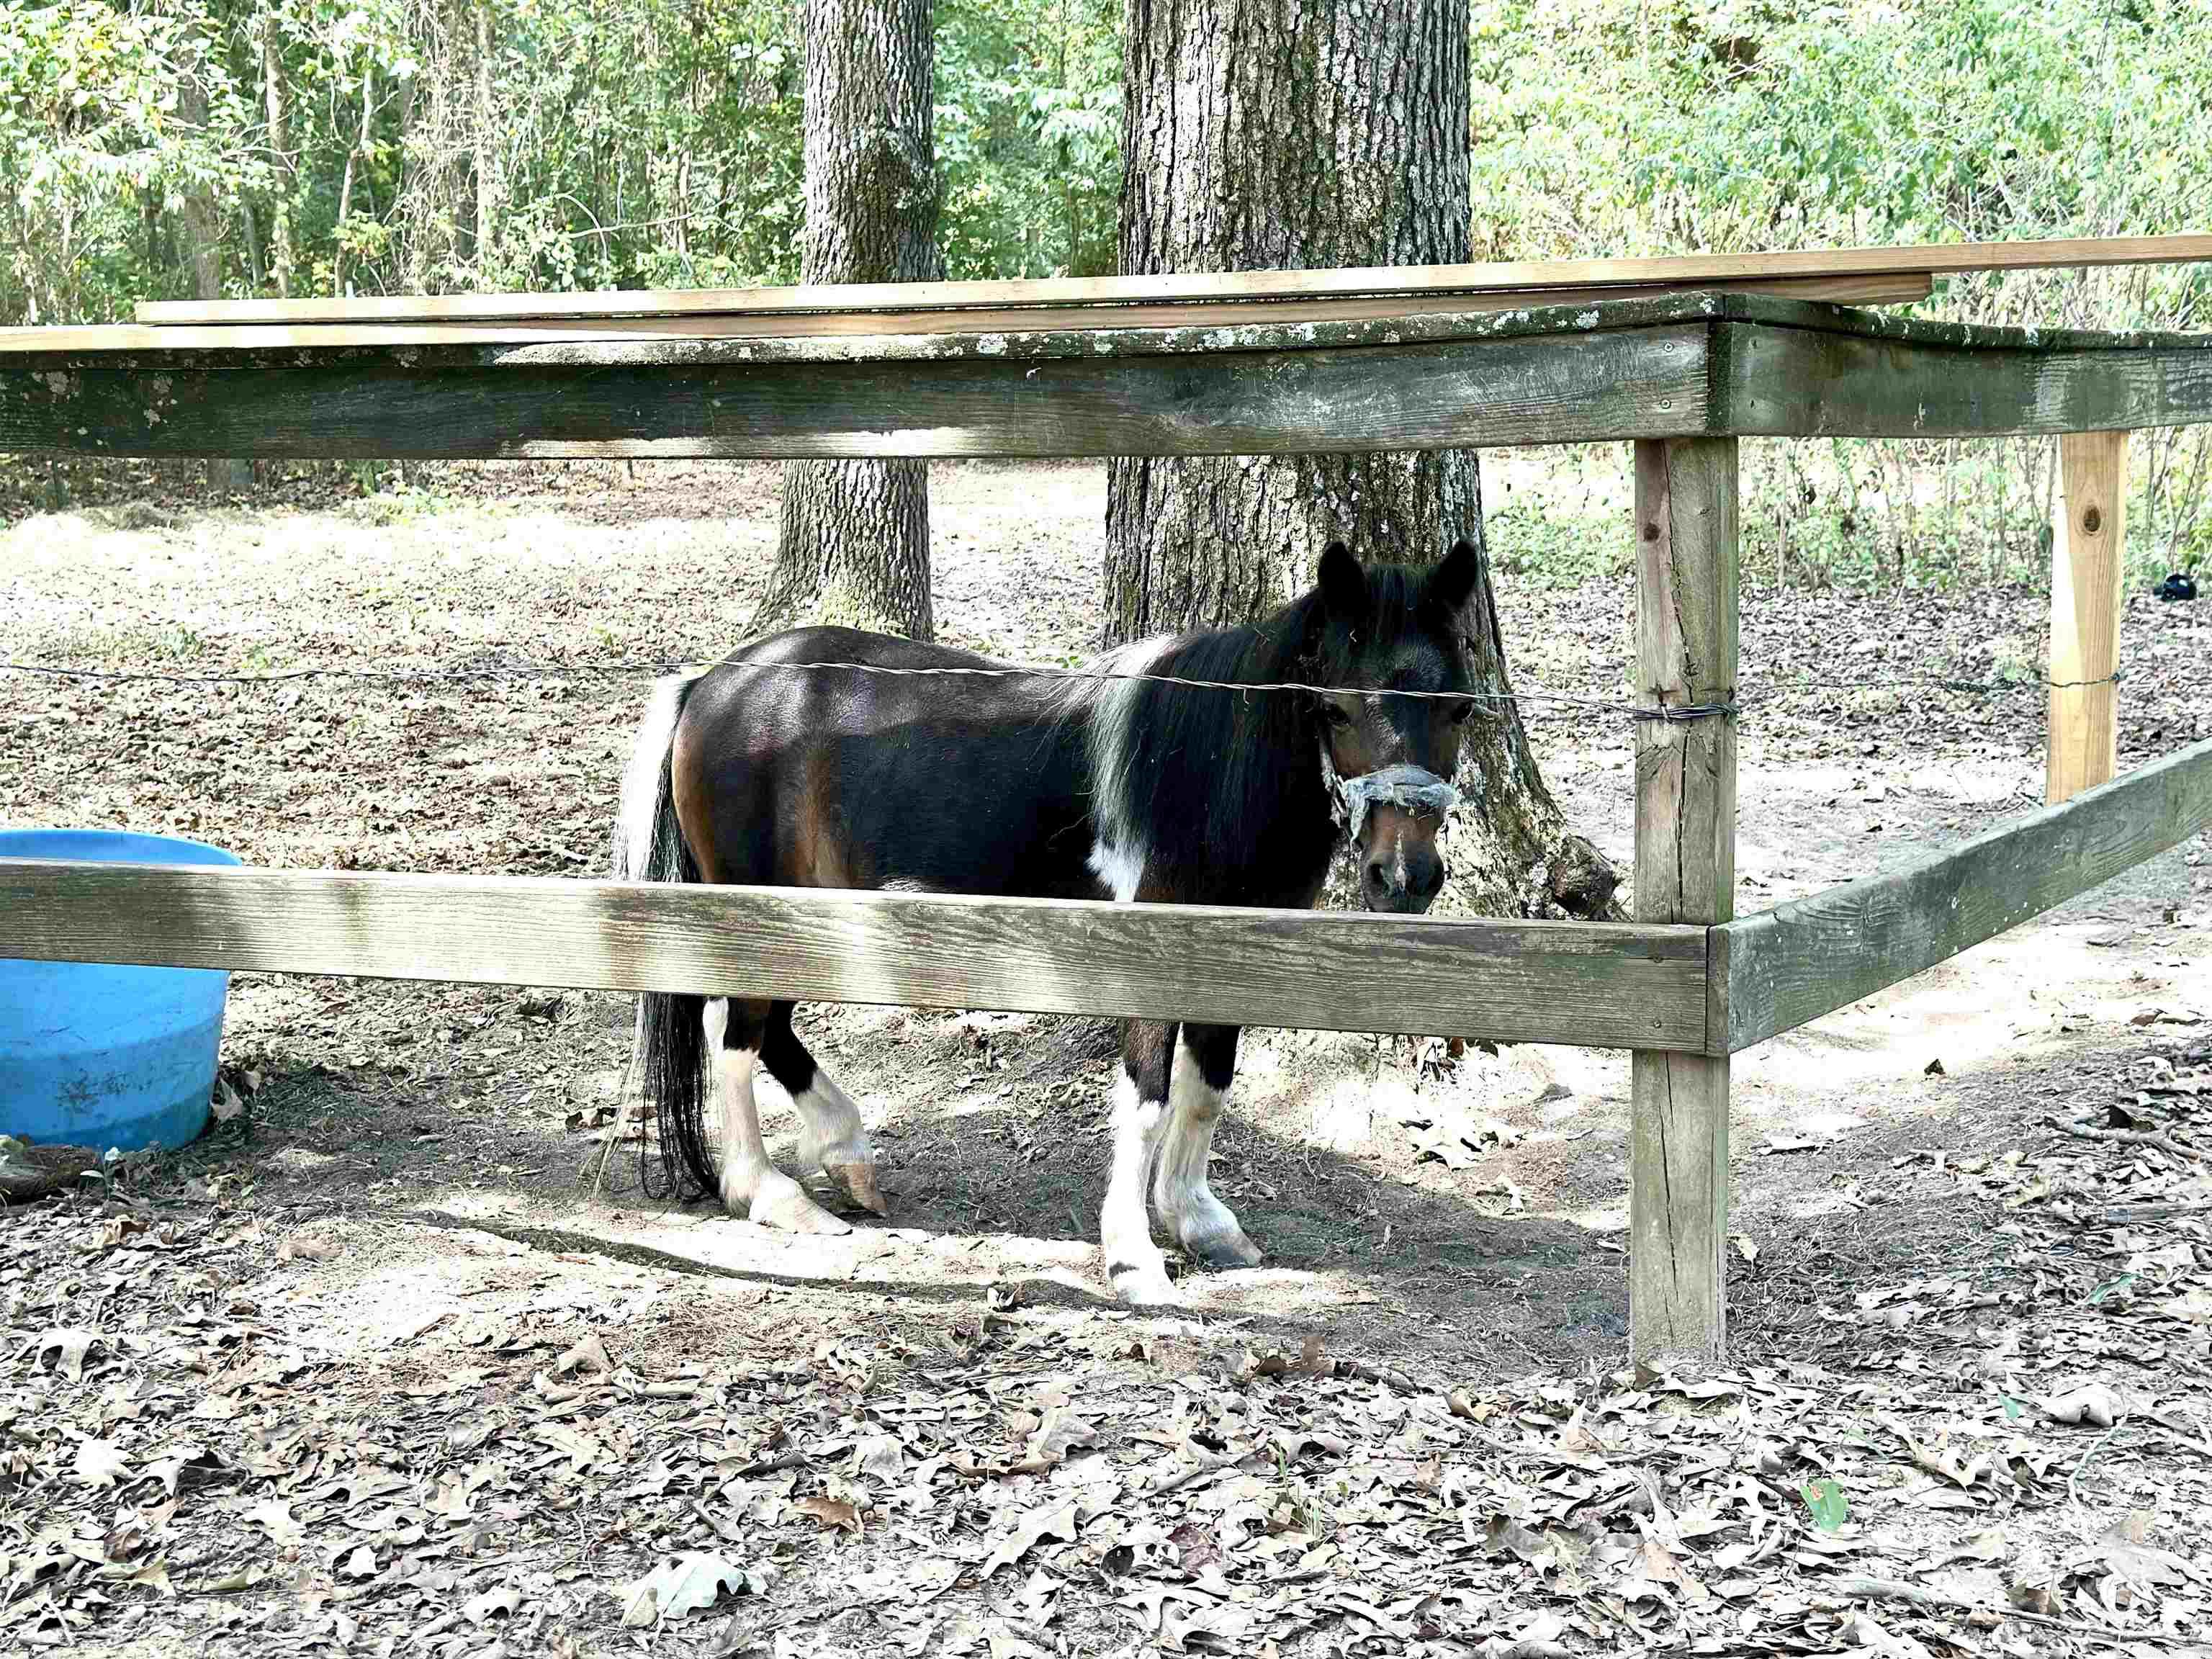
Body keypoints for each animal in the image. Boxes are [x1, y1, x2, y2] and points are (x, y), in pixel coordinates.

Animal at [615, 539, 1478, 1309]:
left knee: (769, 1031)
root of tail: (709, 684)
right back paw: (770, 1194)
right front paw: (1134, 1260)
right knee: (735, 1035)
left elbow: (1207, 1089)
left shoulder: (1230, 961)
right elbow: (1148, 1101)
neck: (1192, 771)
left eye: (1461, 709)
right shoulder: (1152, 960)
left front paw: (1200, 1223)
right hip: (754, 915)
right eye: (1336, 708)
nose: (1404, 877)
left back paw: (847, 1154)